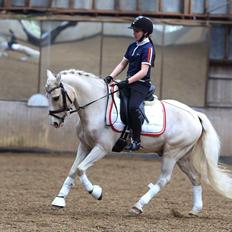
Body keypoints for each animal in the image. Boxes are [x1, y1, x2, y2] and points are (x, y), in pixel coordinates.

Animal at [45, 69, 232, 216]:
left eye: (55, 97)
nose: (54, 123)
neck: (97, 106)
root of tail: (194, 114)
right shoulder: (85, 145)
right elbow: (73, 170)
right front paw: (59, 200)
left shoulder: (101, 148)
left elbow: (81, 169)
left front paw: (96, 192)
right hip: (182, 157)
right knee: (195, 177)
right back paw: (195, 210)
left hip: (172, 153)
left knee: (164, 179)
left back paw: (138, 206)